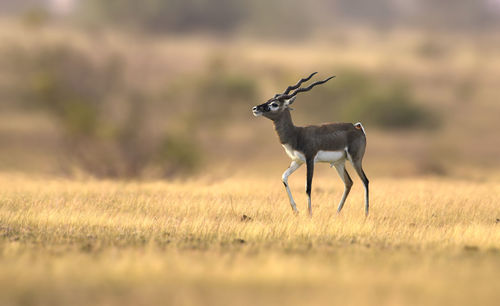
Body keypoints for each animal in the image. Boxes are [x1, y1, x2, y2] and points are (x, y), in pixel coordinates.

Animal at [252, 73, 370, 218]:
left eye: (274, 104)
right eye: (268, 100)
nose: (255, 108)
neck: (296, 134)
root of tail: (357, 128)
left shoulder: (310, 159)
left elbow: (308, 187)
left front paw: (309, 214)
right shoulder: (297, 161)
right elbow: (284, 177)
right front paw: (296, 210)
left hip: (355, 160)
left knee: (365, 181)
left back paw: (366, 214)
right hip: (339, 163)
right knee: (349, 183)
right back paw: (336, 213)